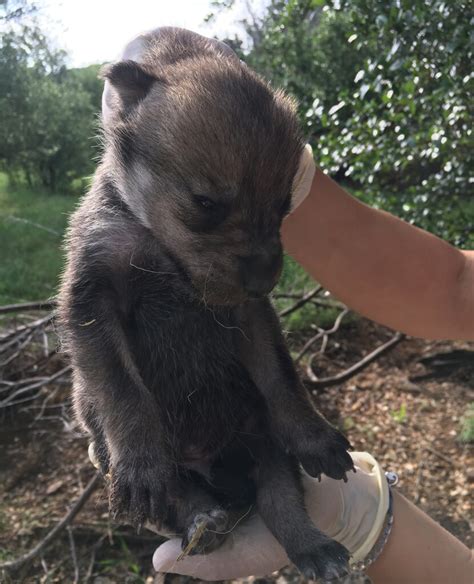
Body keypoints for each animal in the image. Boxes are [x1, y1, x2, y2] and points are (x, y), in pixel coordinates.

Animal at [59, 26, 354, 580]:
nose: (264, 277)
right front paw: (142, 465)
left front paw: (314, 434)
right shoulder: (93, 300)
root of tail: (213, 465)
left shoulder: (252, 315)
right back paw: (202, 518)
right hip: (157, 466)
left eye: (285, 205)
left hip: (262, 443)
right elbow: (122, 391)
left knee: (281, 499)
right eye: (205, 204)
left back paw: (315, 547)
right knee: (183, 495)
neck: (160, 248)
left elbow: (282, 377)